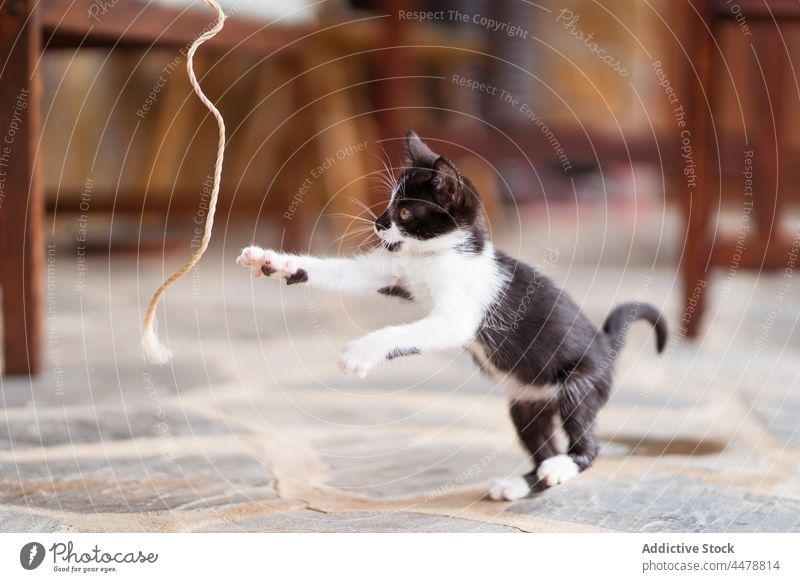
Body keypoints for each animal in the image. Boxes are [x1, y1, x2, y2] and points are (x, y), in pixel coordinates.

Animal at [236, 132, 664, 502]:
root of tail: (607, 343)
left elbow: (402, 333)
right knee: (541, 444)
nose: (377, 223)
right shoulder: (393, 275)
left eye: (404, 210)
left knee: (588, 445)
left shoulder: (457, 319)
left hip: (579, 383)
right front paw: (273, 262)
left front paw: (360, 352)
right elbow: (341, 272)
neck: (437, 256)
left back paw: (562, 467)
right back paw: (523, 483)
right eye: (389, 204)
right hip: (526, 403)